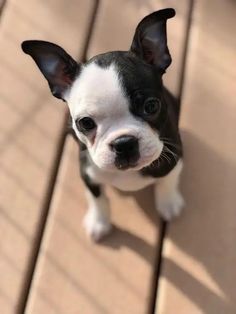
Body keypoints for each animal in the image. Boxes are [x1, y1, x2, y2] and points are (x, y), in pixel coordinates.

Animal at [22, 8, 184, 242]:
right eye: (85, 123)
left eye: (151, 106)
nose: (124, 143)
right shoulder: (88, 173)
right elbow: (98, 199)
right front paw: (98, 223)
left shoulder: (175, 157)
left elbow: (168, 182)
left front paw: (169, 204)